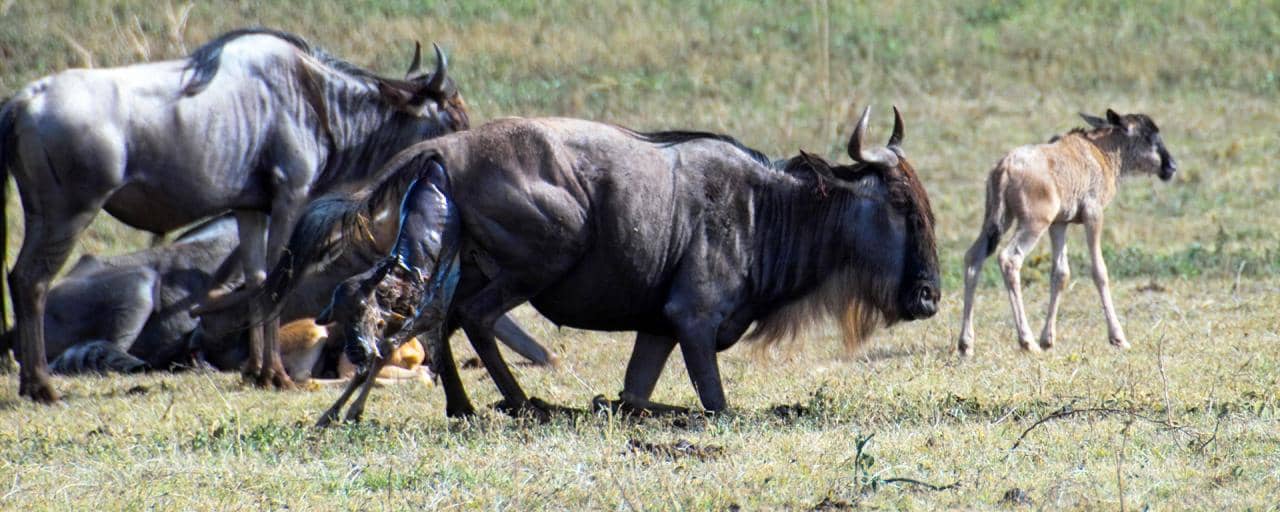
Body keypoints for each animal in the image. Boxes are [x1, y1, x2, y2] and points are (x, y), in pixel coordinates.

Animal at [957, 109, 1172, 353]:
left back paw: (966, 343)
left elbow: (1061, 273)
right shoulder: (1093, 214)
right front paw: (1118, 337)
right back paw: (1026, 340)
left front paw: (1048, 339)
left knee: (973, 257)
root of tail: (1005, 166)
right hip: (1033, 223)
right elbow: (1099, 271)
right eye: (1151, 137)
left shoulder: (1059, 223)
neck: (1100, 151)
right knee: (1009, 259)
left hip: (997, 221)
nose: (1171, 167)